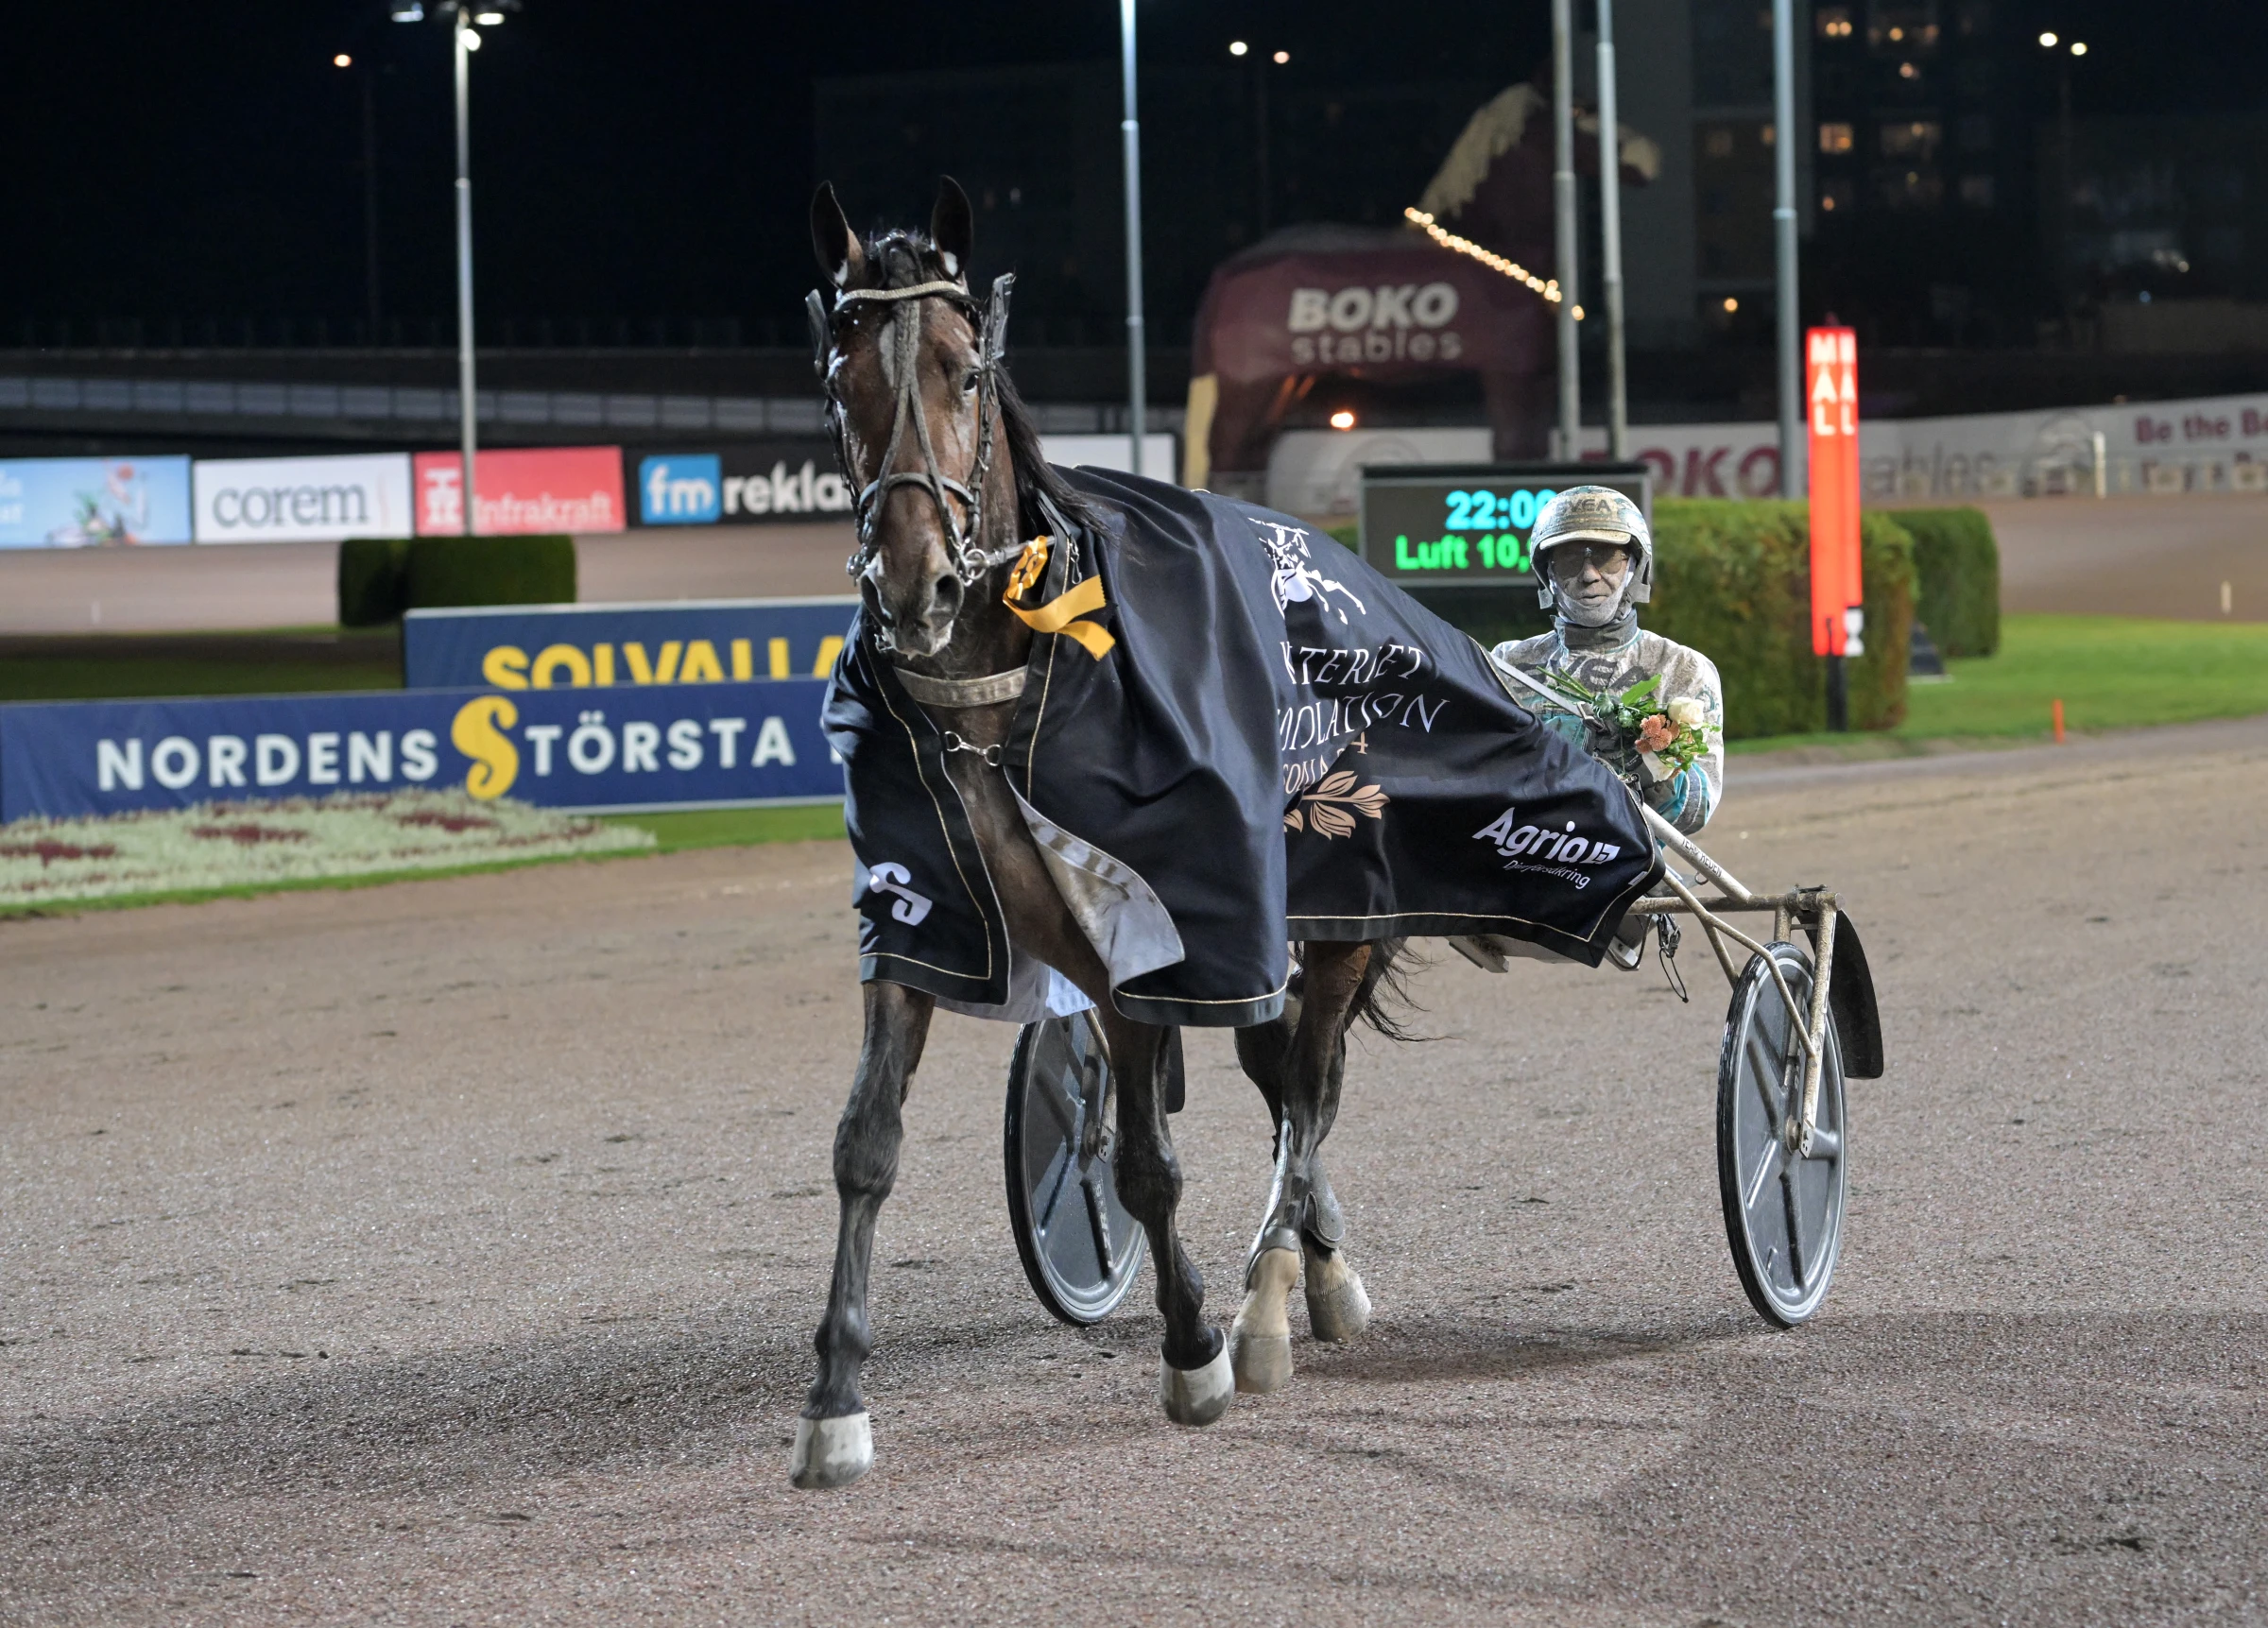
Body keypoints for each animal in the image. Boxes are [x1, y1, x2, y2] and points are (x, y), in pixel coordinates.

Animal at [798, 179, 1397, 1496]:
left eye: (968, 370)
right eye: (839, 373)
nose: (912, 579)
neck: (996, 683)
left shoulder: (1152, 937)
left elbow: (1144, 1160)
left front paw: (1195, 1347)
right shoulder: (919, 918)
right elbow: (866, 1145)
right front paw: (835, 1398)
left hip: (1332, 923)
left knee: (1310, 1089)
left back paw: (1281, 1290)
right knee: (1282, 1077)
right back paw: (1314, 1266)